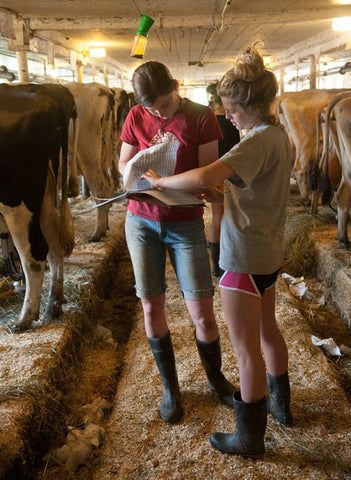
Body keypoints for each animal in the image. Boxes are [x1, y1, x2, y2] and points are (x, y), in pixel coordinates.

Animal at [0, 84, 76, 332]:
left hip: (18, 202)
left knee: (34, 255)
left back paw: (24, 318)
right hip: (45, 198)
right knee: (54, 249)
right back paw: (53, 306)